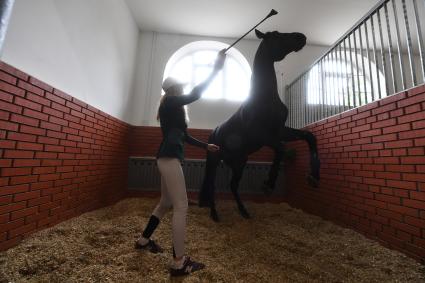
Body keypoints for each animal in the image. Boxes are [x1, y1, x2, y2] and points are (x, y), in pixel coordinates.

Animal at [197, 30, 320, 222]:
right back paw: (214, 214)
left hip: (239, 162)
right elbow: (281, 149)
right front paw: (268, 185)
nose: (301, 36)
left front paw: (313, 176)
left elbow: (309, 137)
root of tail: (214, 132)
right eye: (276, 35)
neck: (265, 97)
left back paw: (243, 211)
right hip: (214, 161)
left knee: (233, 185)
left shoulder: (280, 131)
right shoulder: (263, 136)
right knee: (211, 183)